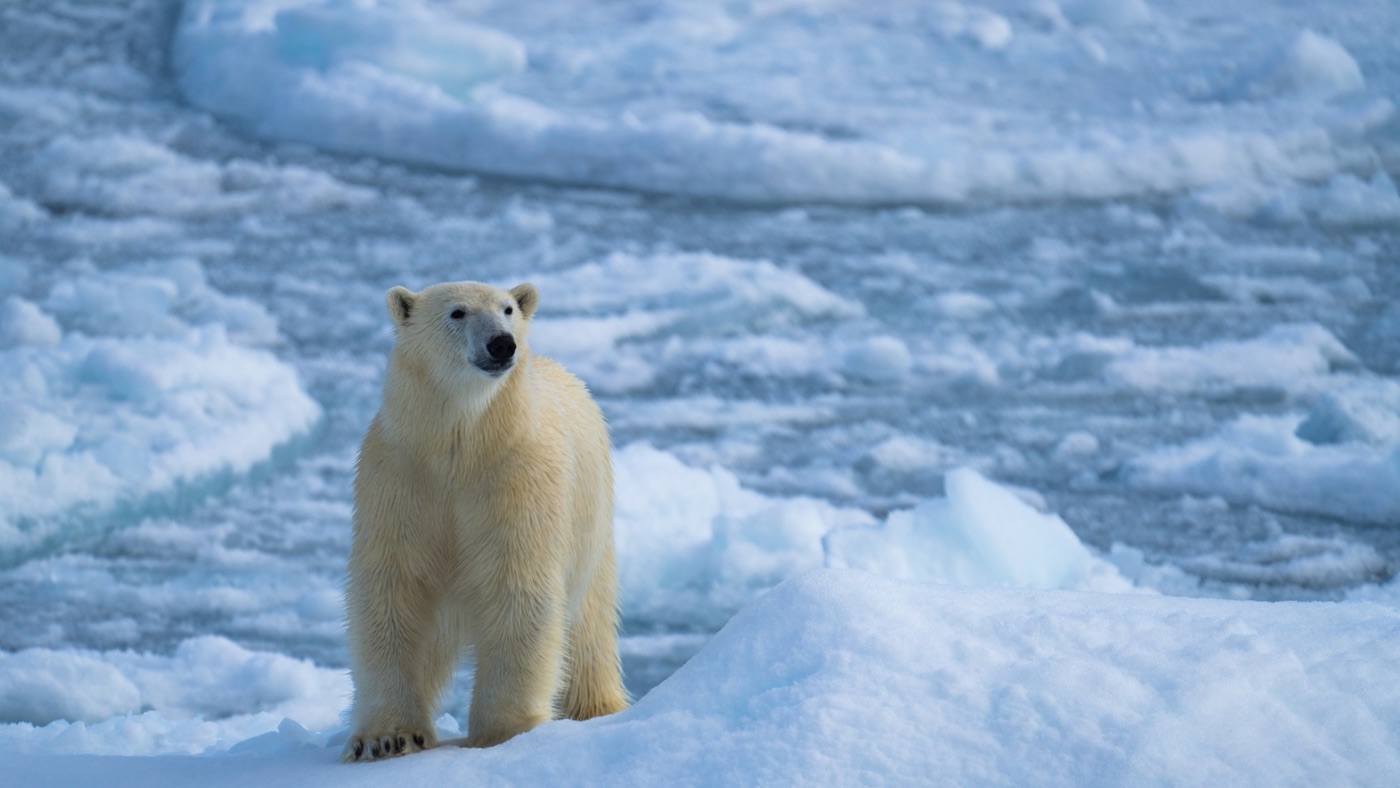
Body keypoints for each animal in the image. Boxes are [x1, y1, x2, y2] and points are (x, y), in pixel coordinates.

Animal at [343, 280, 629, 762]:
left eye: (508, 309)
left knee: (589, 630)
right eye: (457, 312)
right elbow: (393, 592)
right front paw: (387, 738)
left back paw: (598, 708)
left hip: (591, 524)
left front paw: (503, 732)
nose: (502, 343)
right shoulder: (401, 479)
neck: (461, 445)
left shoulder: (518, 480)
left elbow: (517, 590)